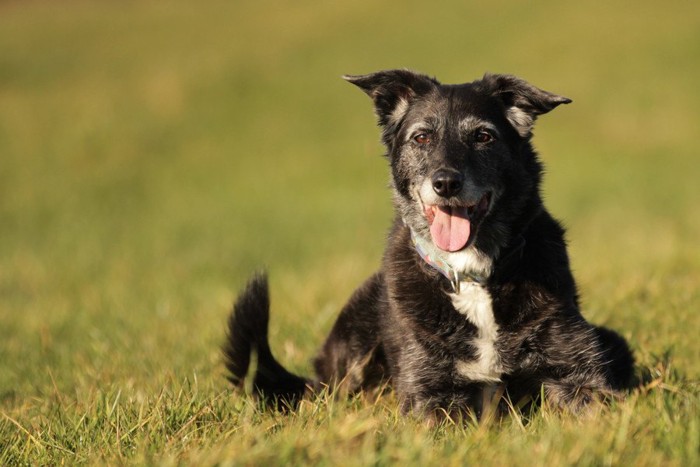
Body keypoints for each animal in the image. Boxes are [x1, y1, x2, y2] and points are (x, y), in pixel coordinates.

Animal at [224, 69, 636, 420]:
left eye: (483, 136)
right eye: (421, 137)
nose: (446, 183)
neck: (470, 276)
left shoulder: (580, 376)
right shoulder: (429, 394)